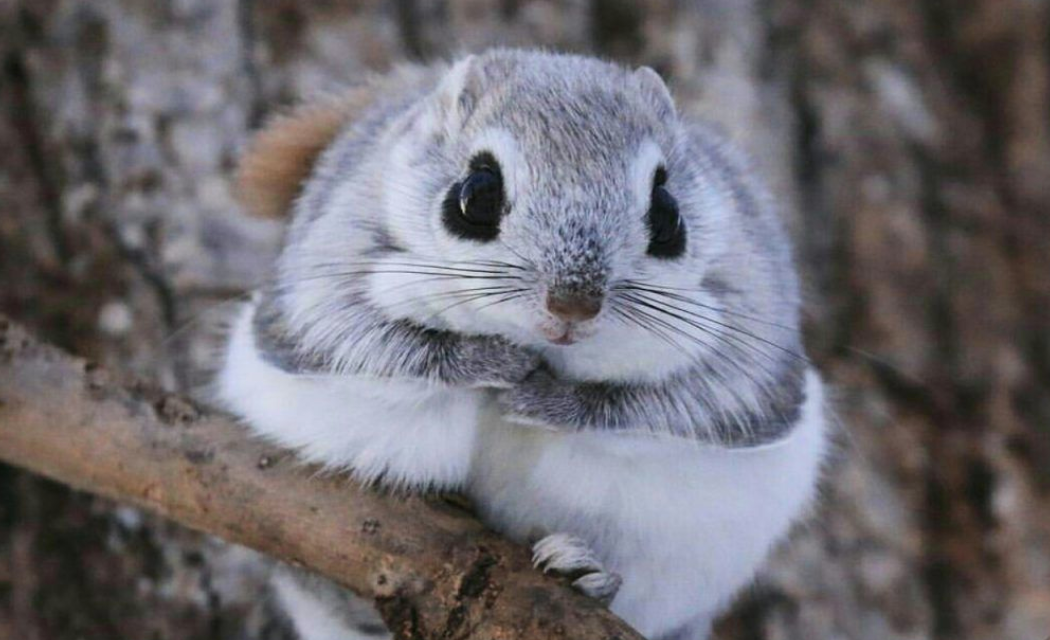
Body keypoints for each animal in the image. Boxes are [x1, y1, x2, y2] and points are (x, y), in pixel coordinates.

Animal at [217, 49, 829, 640]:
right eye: (475, 196)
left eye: (669, 214)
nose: (574, 305)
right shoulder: (327, 266)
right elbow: (370, 341)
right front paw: (491, 362)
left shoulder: (750, 327)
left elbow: (676, 403)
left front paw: (543, 399)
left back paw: (585, 573)